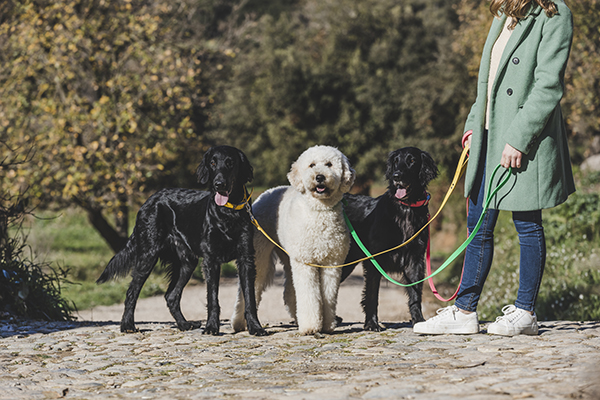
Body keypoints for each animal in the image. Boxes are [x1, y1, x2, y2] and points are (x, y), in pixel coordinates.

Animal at [96, 145, 264, 336]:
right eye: (213, 163)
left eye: (230, 163)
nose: (219, 184)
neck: (228, 212)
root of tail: (149, 200)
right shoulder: (211, 260)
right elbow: (212, 298)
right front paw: (211, 327)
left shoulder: (246, 258)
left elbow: (249, 297)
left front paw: (255, 327)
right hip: (148, 256)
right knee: (132, 291)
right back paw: (127, 325)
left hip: (187, 262)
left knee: (171, 296)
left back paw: (184, 324)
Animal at [230, 145, 352, 332]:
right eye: (312, 165)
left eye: (329, 164)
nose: (319, 177)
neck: (319, 211)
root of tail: (267, 192)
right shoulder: (305, 262)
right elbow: (309, 294)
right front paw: (310, 326)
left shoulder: (332, 263)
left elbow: (328, 295)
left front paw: (326, 324)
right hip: (260, 255)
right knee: (250, 288)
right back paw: (239, 323)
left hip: (288, 256)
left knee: (290, 291)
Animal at [342, 147, 440, 332]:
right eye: (396, 161)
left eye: (412, 160)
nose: (396, 176)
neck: (406, 209)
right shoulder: (374, 260)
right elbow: (372, 294)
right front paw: (372, 323)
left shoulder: (415, 260)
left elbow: (416, 293)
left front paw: (418, 320)